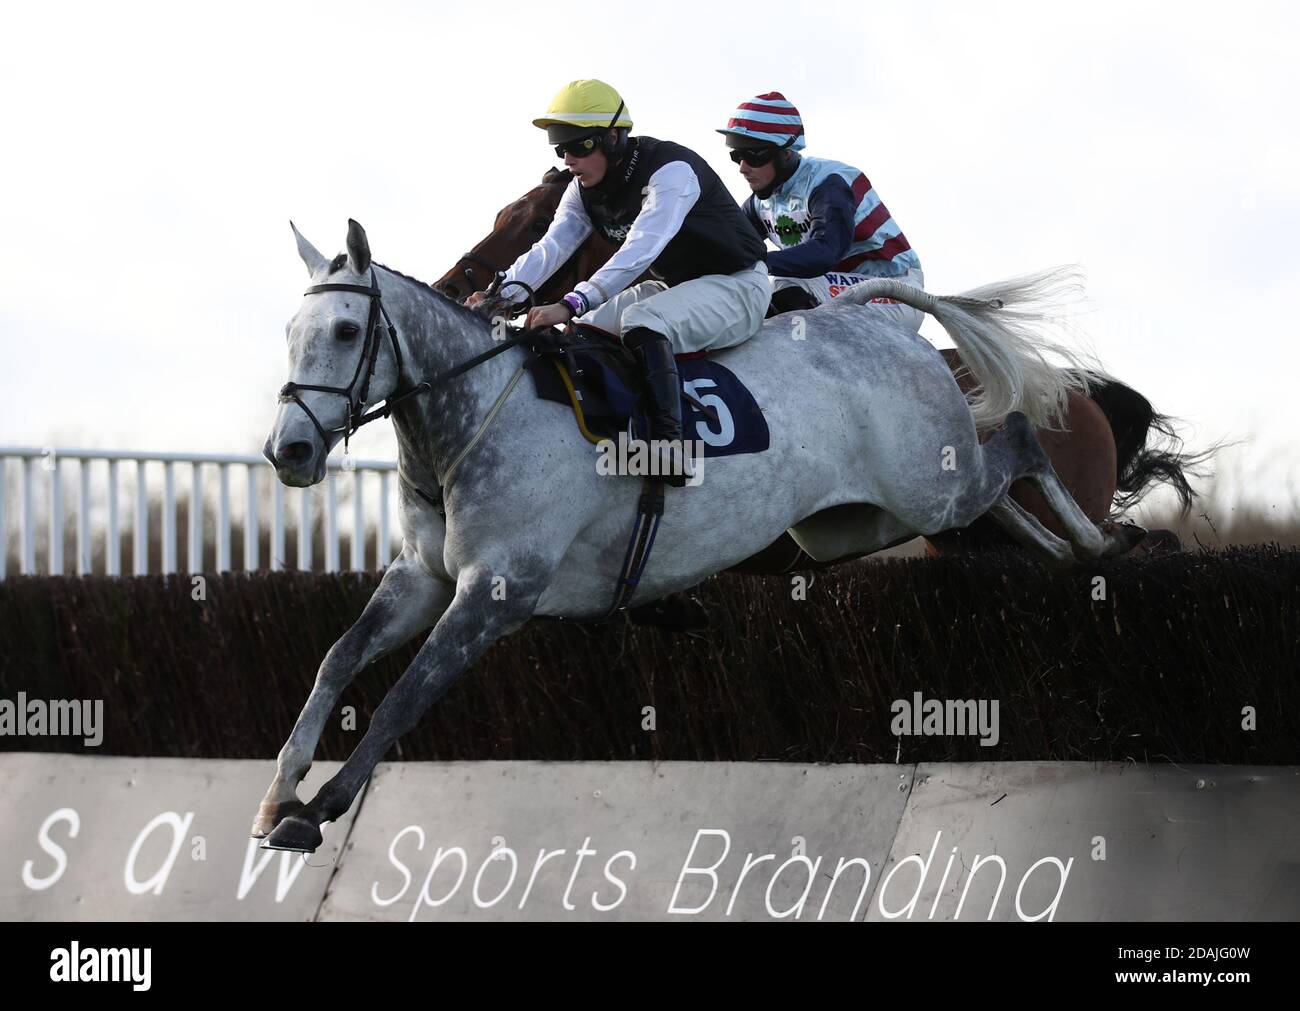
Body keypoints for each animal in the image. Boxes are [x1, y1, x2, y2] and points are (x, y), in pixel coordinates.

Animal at [250, 220, 1138, 852]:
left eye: (343, 331)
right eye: (289, 330)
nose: (289, 451)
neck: (472, 418)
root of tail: (875, 326)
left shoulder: (497, 592)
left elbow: (407, 695)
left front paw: (320, 806)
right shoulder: (421, 577)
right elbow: (337, 658)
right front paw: (277, 790)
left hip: (927, 485)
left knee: (1018, 437)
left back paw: (1095, 547)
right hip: (870, 517)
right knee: (998, 496)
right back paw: (1059, 553)